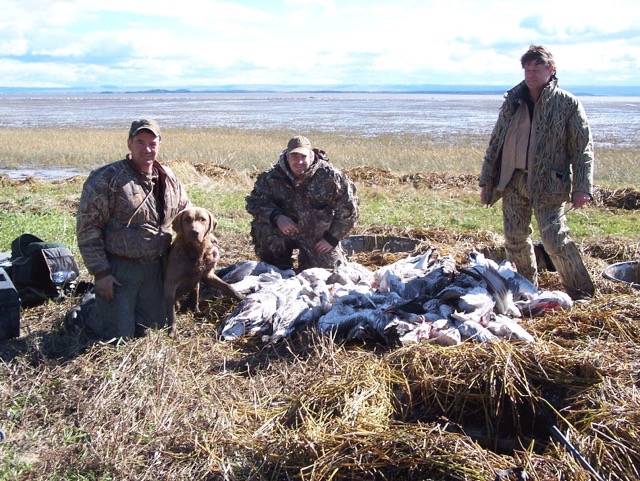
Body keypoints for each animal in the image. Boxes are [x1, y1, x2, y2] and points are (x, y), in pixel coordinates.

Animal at [164, 205, 244, 334]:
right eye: (187, 219)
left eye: (203, 219)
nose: (194, 232)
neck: (194, 253)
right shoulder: (170, 284)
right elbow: (171, 311)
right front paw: (172, 331)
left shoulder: (207, 275)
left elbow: (228, 286)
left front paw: (241, 297)